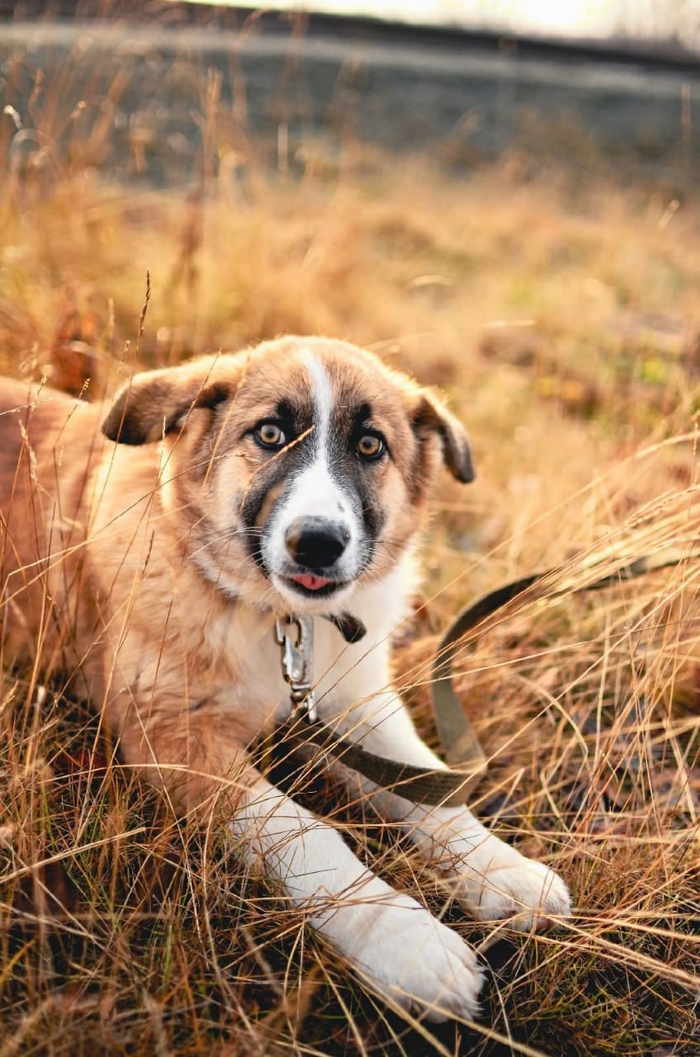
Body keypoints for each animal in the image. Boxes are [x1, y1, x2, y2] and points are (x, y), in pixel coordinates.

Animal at [0, 338, 570, 1023]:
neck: (279, 619)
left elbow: (428, 786)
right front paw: (406, 940)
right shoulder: (172, 737)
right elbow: (303, 833)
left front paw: (500, 867)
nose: (317, 543)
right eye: (269, 434)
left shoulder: (353, 703)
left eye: (370, 445)